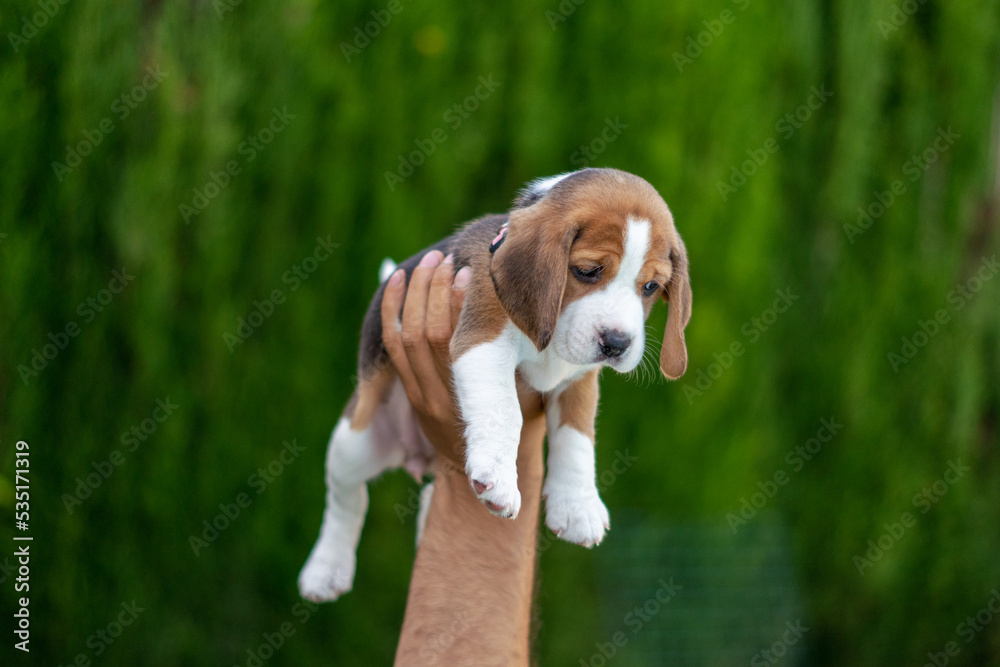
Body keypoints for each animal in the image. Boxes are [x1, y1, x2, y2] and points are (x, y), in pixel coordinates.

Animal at [296, 168, 688, 604]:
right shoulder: (483, 342)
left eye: (650, 287)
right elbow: (504, 412)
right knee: (346, 498)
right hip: (356, 439)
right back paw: (326, 568)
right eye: (587, 271)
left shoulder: (579, 379)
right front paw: (499, 478)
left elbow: (577, 436)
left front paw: (577, 504)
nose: (617, 343)